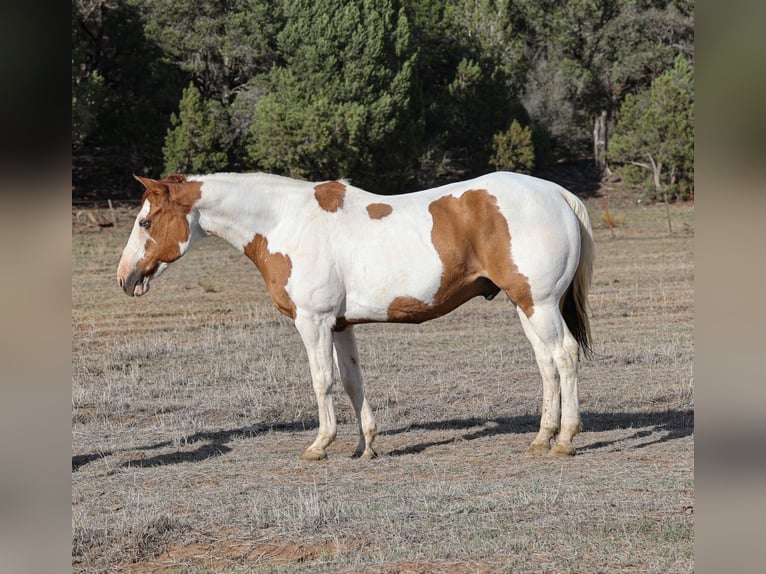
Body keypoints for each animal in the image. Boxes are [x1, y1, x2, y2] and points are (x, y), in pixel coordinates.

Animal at [117, 171, 594, 460]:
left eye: (145, 222)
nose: (124, 278)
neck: (285, 222)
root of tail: (556, 192)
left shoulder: (313, 322)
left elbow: (321, 380)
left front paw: (320, 444)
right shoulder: (341, 324)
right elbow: (351, 381)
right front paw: (366, 445)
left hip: (540, 304)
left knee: (565, 357)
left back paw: (566, 439)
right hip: (526, 306)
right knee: (546, 365)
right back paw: (542, 437)